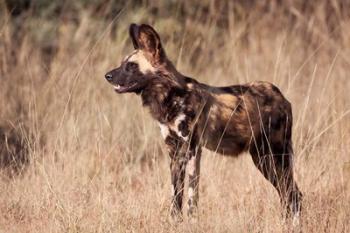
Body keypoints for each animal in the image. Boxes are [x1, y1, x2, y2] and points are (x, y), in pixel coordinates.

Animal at [105, 23, 302, 224]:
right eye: (122, 64)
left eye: (131, 66)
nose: (107, 76)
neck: (171, 96)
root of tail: (282, 97)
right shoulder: (174, 152)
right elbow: (176, 195)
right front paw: (174, 222)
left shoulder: (192, 149)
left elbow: (192, 195)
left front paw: (192, 222)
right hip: (263, 159)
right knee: (287, 194)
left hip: (273, 155)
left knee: (292, 194)